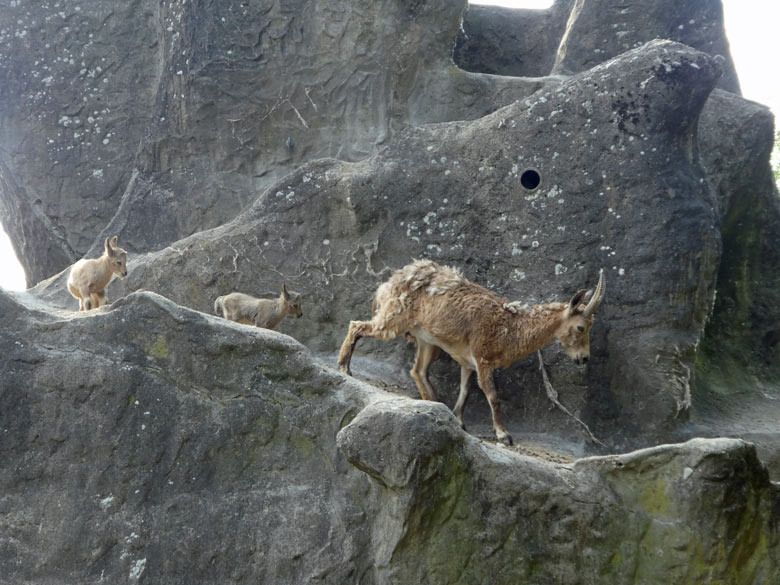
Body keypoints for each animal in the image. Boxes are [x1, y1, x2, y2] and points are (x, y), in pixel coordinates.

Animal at [338, 258, 608, 444]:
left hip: (427, 340)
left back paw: (433, 400)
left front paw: (458, 420)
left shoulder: (469, 362)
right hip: (394, 318)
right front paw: (503, 435)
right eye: (581, 327)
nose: (584, 358)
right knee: (357, 326)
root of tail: (388, 284)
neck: (512, 328)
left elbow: (466, 391)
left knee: (419, 370)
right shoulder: (483, 358)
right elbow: (493, 396)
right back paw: (344, 366)